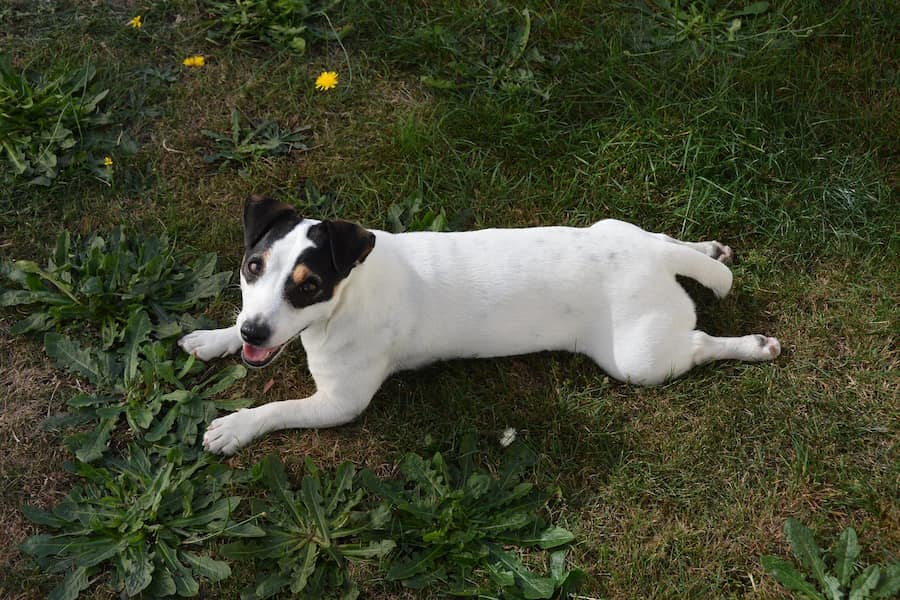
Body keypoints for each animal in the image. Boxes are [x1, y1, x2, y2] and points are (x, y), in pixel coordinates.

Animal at [178, 197, 780, 454]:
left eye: (308, 287)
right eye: (252, 266)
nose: (255, 335)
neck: (349, 293)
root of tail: (655, 264)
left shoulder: (338, 403)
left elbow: (277, 409)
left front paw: (234, 427)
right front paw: (213, 337)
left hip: (638, 361)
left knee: (700, 344)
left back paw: (753, 344)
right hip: (619, 230)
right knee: (669, 240)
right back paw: (708, 250)